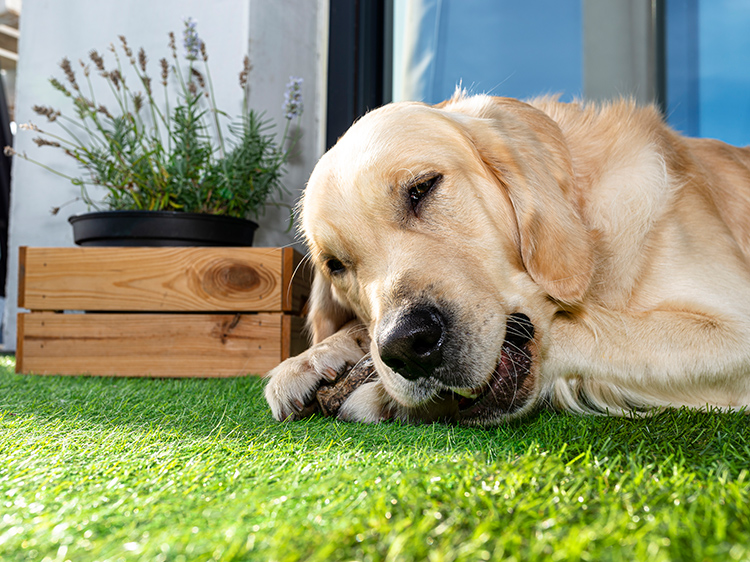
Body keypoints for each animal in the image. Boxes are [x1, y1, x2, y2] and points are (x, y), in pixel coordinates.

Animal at [268, 92, 750, 424]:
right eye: (336, 265)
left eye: (422, 188)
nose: (405, 345)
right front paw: (311, 360)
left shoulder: (735, 330)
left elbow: (580, 331)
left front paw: (376, 394)